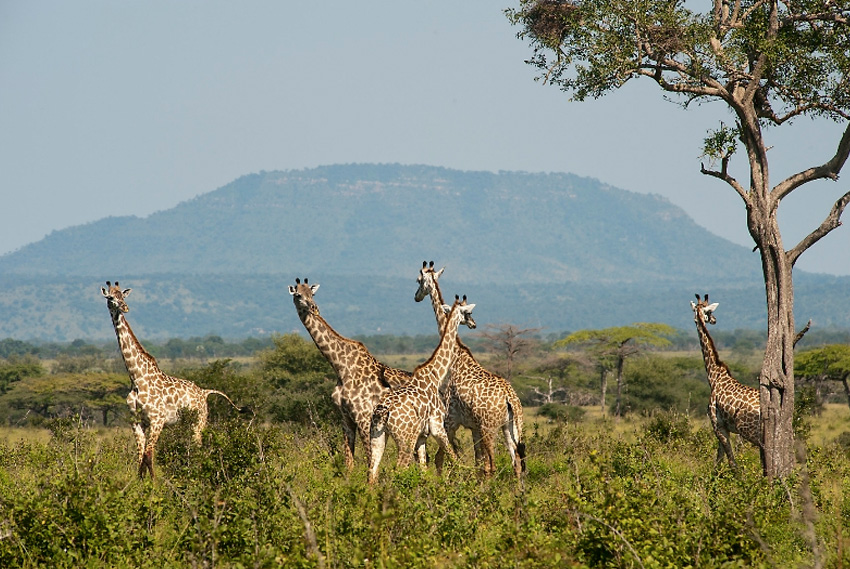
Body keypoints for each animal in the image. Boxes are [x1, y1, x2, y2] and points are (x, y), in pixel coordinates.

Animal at [102, 282, 245, 478]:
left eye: (123, 296)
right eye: (110, 297)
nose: (125, 307)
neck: (137, 379)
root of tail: (204, 392)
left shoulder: (157, 420)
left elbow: (148, 455)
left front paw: (154, 484)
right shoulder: (136, 421)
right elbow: (140, 457)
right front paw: (140, 483)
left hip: (198, 422)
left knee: (198, 447)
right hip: (186, 423)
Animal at [288, 278, 414, 470]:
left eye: (312, 293)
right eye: (298, 295)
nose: (313, 307)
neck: (341, 367)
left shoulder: (363, 417)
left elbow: (370, 459)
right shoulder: (345, 417)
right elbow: (349, 461)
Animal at [366, 296, 474, 482]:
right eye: (467, 313)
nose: (474, 324)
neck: (435, 375)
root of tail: (383, 410)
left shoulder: (422, 436)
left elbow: (423, 468)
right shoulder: (438, 426)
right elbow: (452, 456)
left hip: (377, 435)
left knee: (372, 471)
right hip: (405, 438)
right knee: (399, 468)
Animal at [410, 262, 524, 480]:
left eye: (419, 280)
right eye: (469, 313)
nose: (416, 296)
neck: (457, 356)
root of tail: (510, 398)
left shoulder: (451, 421)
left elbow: (441, 458)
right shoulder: (472, 427)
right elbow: (477, 463)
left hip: (490, 427)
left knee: (493, 465)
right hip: (511, 426)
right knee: (516, 463)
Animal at [692, 292, 760, 466]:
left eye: (709, 311)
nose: (714, 320)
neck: (714, 376)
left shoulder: (718, 425)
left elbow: (731, 462)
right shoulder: (724, 427)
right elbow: (718, 461)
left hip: (749, 429)